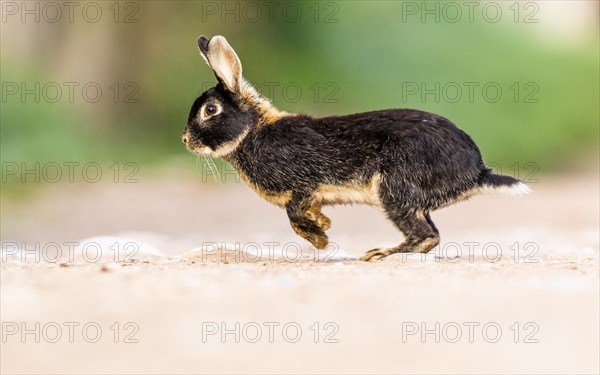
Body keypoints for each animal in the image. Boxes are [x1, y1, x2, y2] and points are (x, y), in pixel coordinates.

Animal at [182, 36, 528, 262]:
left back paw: (378, 254)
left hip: (394, 189)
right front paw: (322, 227)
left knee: (425, 235)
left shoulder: (303, 183)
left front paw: (320, 237)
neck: (253, 131)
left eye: (210, 110)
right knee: (431, 234)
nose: (185, 140)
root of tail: (475, 172)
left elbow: (294, 213)